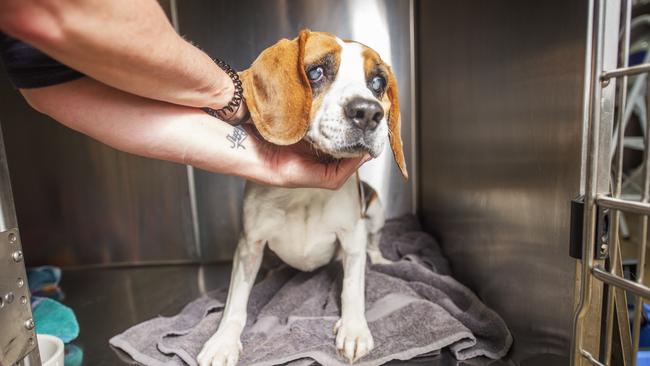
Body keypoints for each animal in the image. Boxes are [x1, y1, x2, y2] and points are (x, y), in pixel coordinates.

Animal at [197, 29, 404, 366]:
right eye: (316, 72)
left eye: (377, 83)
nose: (369, 112)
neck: (305, 192)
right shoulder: (250, 245)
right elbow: (235, 302)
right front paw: (224, 341)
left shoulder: (353, 237)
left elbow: (352, 287)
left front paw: (354, 328)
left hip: (376, 211)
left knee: (373, 244)